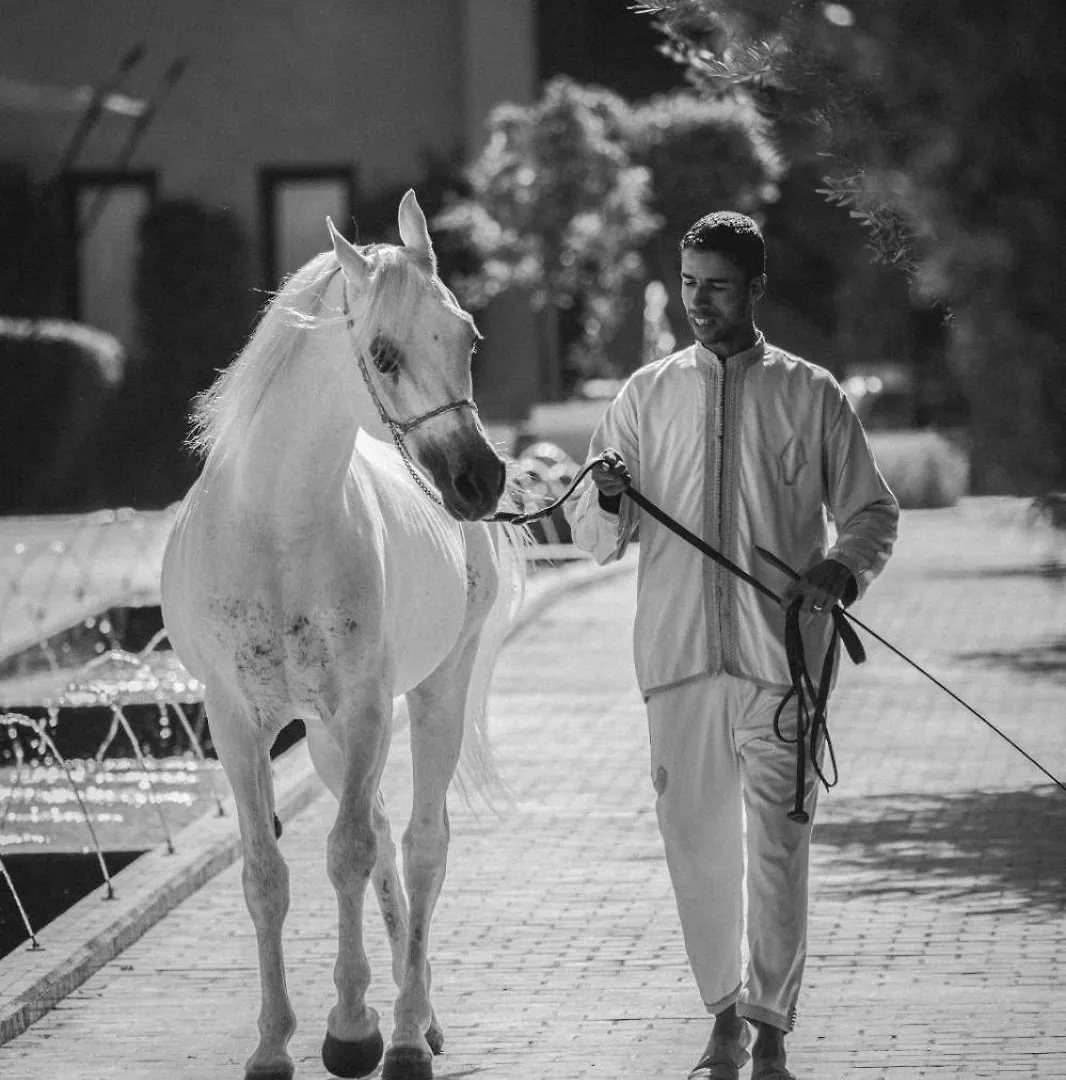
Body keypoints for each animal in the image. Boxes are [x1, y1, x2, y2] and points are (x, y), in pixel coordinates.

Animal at [163, 194, 529, 1080]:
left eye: (468, 338)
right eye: (384, 353)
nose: (479, 480)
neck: (275, 529)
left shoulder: (364, 710)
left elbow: (348, 854)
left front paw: (355, 1028)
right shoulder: (236, 721)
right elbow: (267, 872)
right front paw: (272, 1044)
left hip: (431, 697)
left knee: (423, 845)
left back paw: (407, 1030)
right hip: (324, 737)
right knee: (394, 838)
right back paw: (418, 1016)